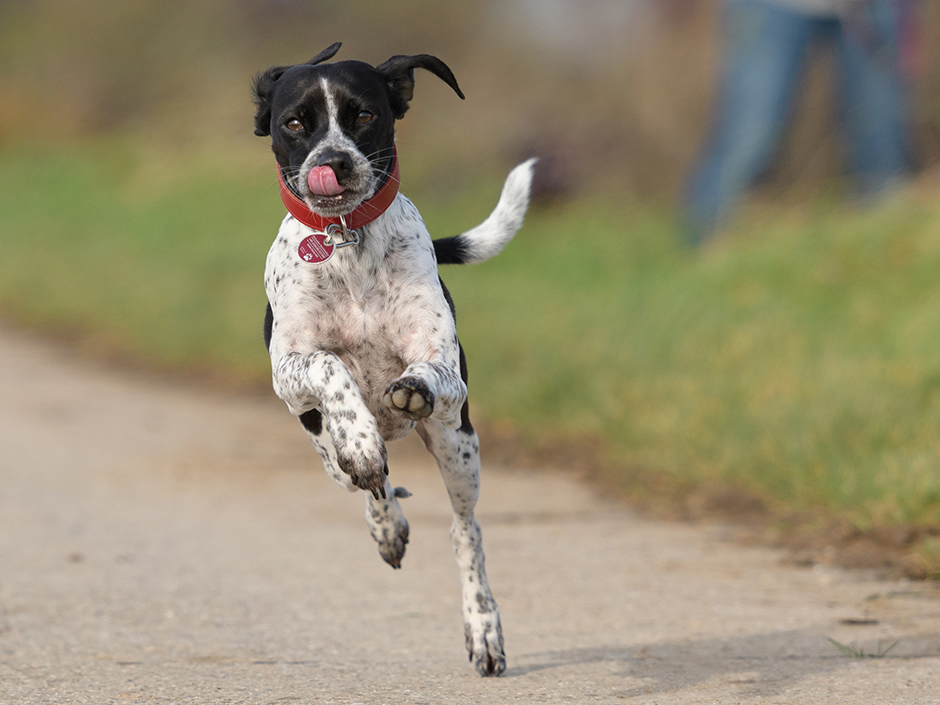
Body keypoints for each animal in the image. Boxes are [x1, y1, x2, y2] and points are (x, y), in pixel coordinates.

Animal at [252, 40, 536, 676]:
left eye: (363, 115)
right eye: (294, 124)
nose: (333, 161)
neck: (344, 239)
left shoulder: (447, 374)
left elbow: (426, 371)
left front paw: (410, 388)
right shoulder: (289, 373)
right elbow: (330, 367)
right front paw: (360, 437)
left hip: (459, 449)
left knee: (464, 533)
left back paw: (483, 628)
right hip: (321, 450)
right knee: (368, 485)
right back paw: (383, 511)